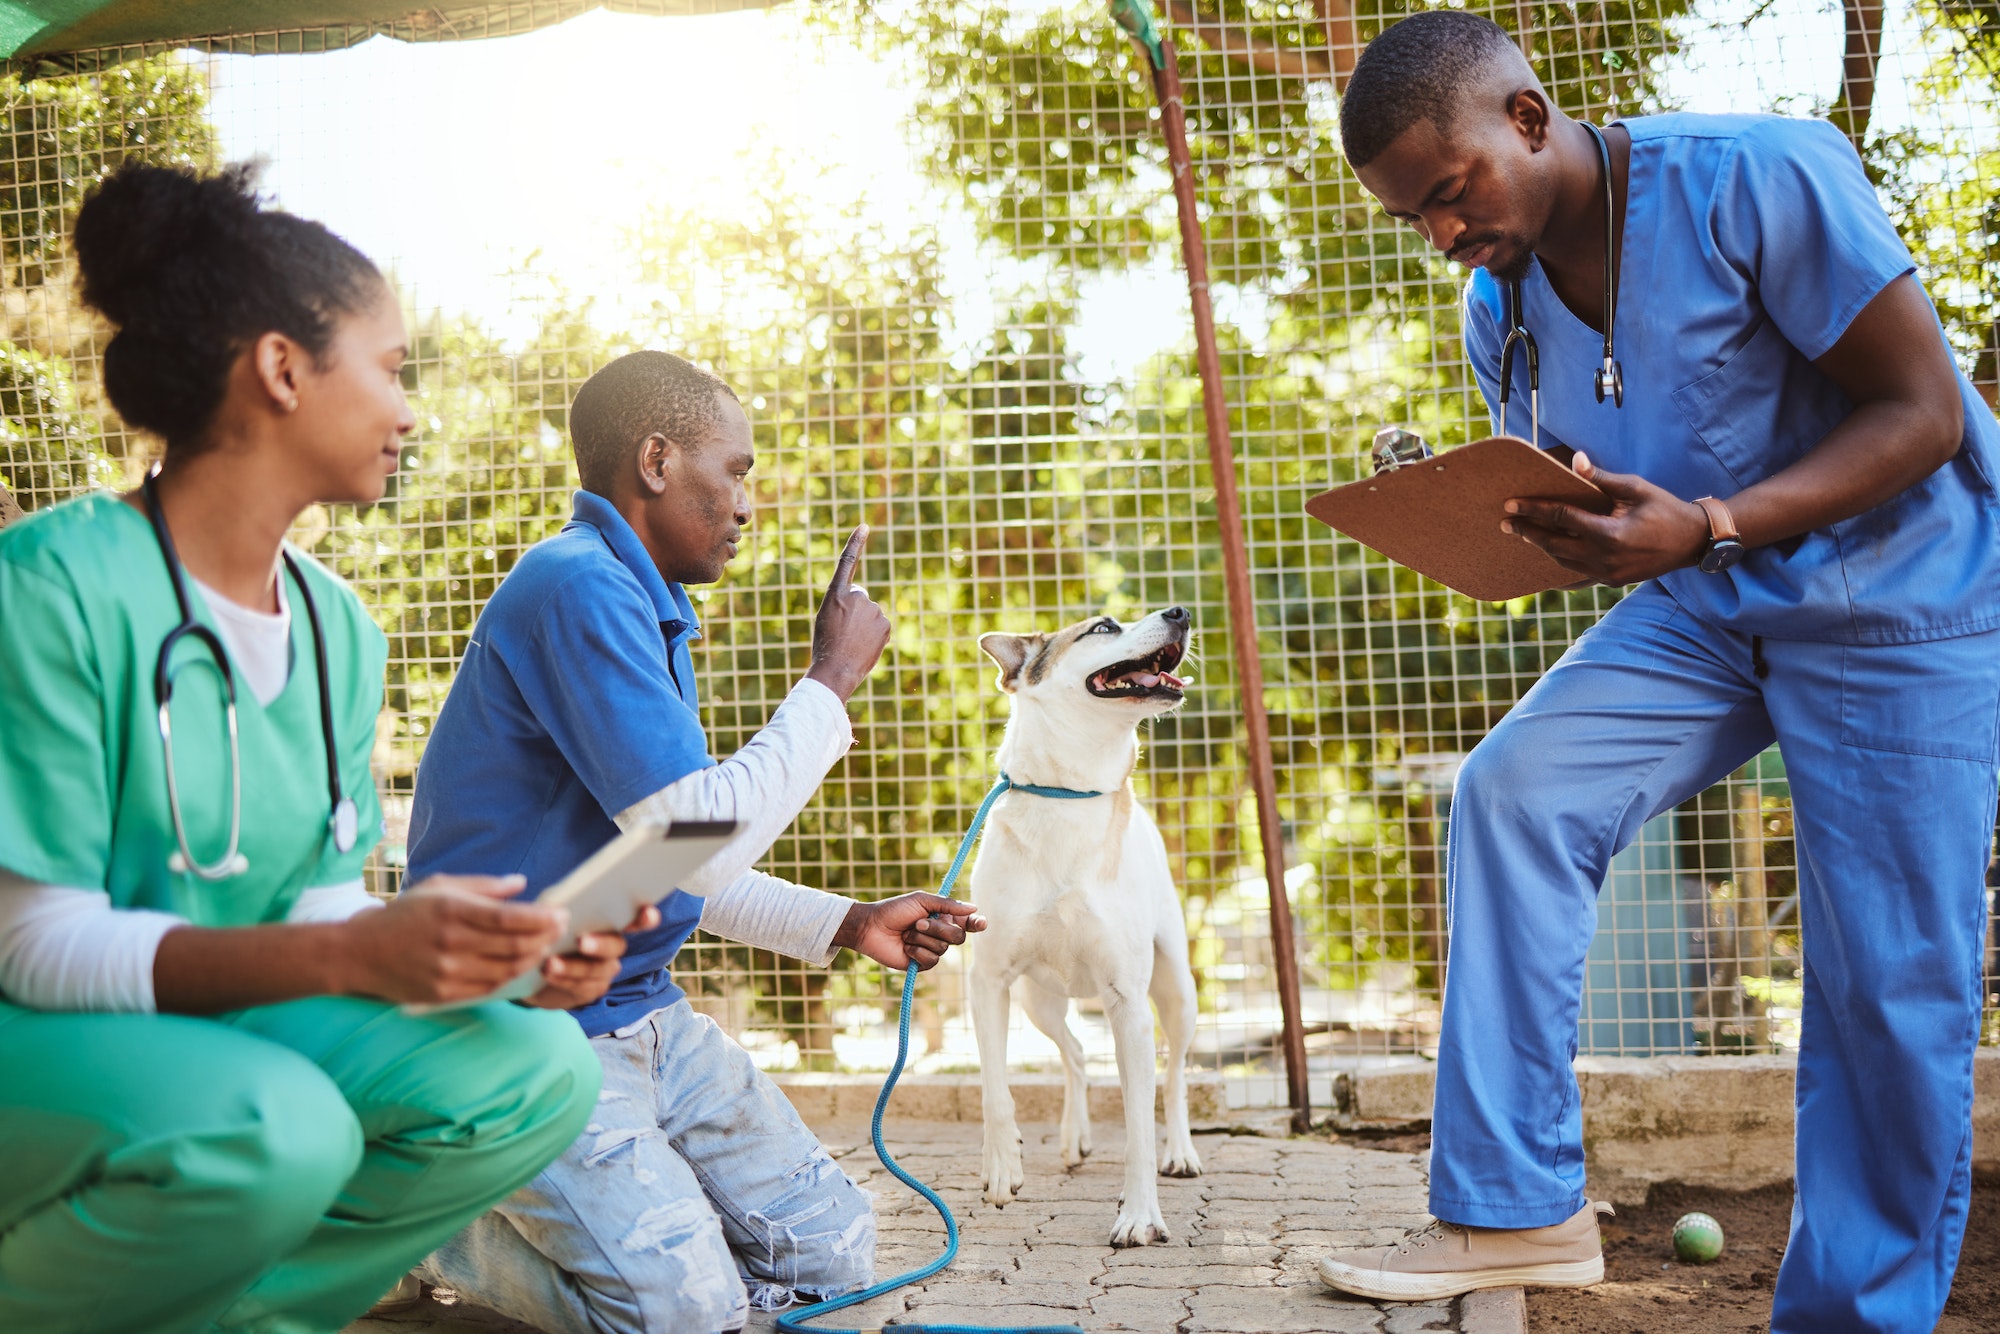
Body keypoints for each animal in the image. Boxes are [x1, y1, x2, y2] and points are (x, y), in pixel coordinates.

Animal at [968, 612, 1200, 1248]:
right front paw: (1002, 1168)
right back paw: (1073, 1138)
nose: (1179, 613)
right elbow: (996, 1092)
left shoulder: (1128, 1001)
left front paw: (1139, 1215)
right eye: (1103, 626)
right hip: (1036, 1000)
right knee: (1073, 1051)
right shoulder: (990, 983)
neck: (1067, 796)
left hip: (1178, 990)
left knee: (1173, 1076)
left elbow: (1140, 1123)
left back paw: (1181, 1152)